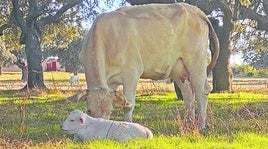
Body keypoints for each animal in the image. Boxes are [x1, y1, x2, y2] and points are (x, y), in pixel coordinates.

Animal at [74, 2, 220, 130]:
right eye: (89, 110)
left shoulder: (132, 72)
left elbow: (128, 105)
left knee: (201, 90)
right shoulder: (110, 82)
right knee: (188, 92)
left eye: (110, 111)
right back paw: (188, 123)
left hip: (196, 61)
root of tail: (197, 11)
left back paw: (201, 125)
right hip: (179, 67)